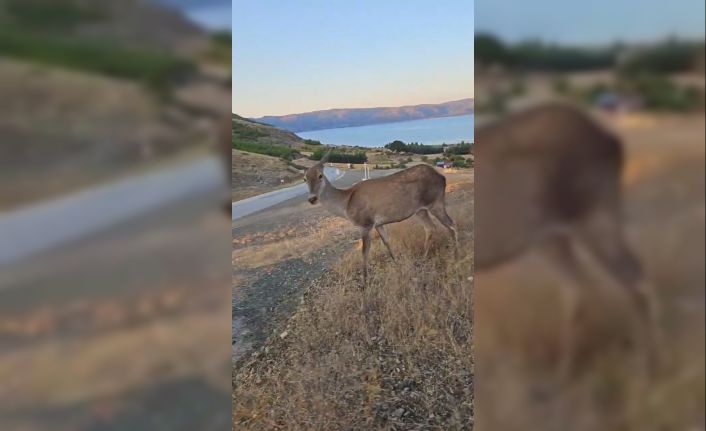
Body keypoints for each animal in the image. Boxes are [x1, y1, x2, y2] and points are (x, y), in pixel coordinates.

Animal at [302, 150, 456, 286]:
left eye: (320, 175)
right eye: (305, 179)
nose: (312, 198)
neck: (346, 204)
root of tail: (442, 178)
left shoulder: (365, 222)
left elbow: (364, 252)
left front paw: (365, 282)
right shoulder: (378, 223)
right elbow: (387, 242)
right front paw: (397, 263)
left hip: (435, 201)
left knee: (451, 224)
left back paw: (456, 251)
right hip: (420, 210)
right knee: (430, 228)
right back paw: (424, 256)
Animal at [472, 103, 660, 376]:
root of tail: (613, 142)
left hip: (593, 217)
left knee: (636, 280)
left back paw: (646, 368)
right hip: (552, 236)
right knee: (579, 288)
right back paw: (565, 371)